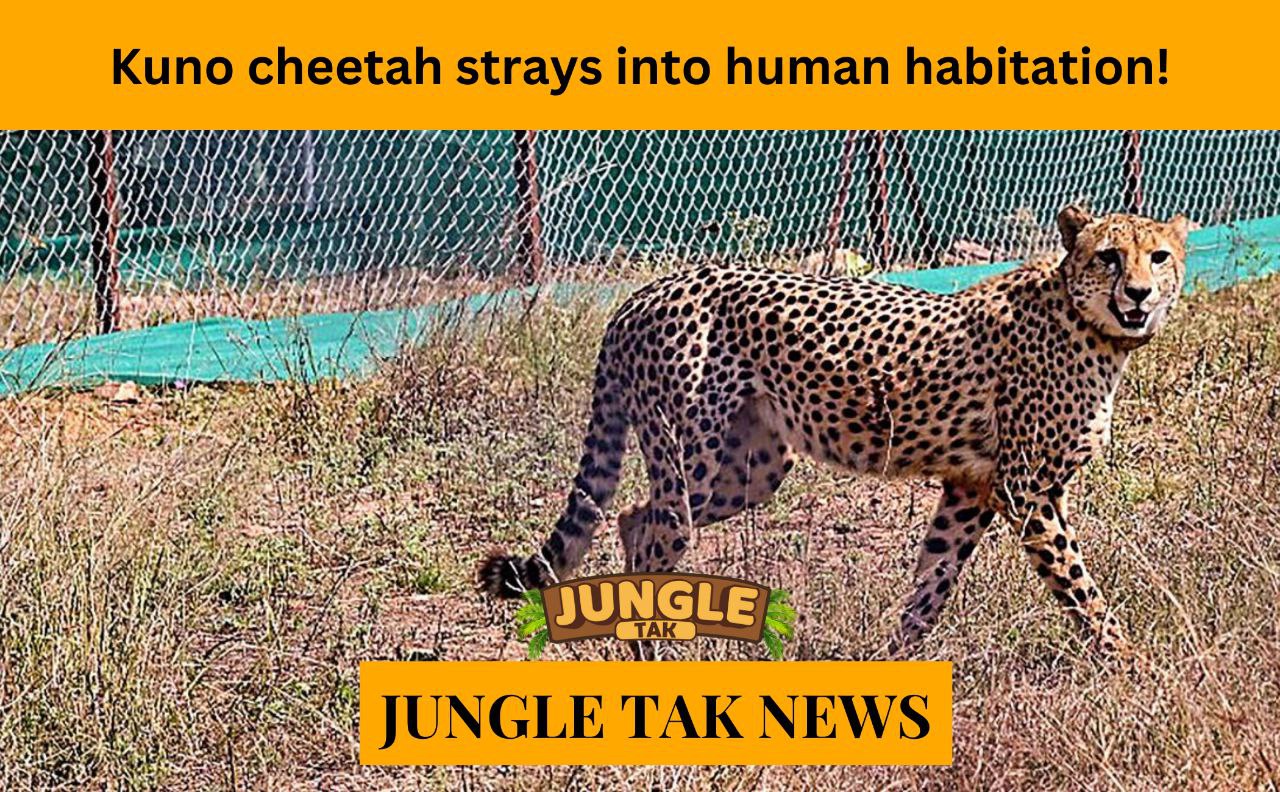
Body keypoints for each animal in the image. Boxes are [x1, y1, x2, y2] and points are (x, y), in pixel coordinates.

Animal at [479, 206, 1189, 661]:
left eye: (1159, 256)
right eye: (1109, 257)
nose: (1139, 293)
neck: (1090, 324)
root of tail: (644, 293)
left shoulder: (971, 488)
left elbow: (931, 583)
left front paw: (895, 662)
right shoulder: (1025, 491)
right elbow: (1080, 588)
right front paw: (1131, 667)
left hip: (751, 471)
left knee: (633, 518)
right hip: (693, 461)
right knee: (657, 532)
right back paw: (651, 656)